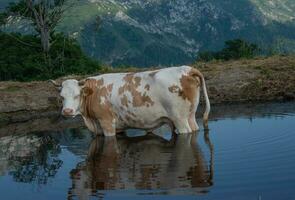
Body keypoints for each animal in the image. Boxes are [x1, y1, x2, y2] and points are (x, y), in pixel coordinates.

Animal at [51, 66, 210, 137]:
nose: (67, 111)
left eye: (77, 95)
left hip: (179, 119)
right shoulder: (119, 126)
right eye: (62, 96)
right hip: (190, 115)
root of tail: (186, 69)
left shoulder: (107, 122)